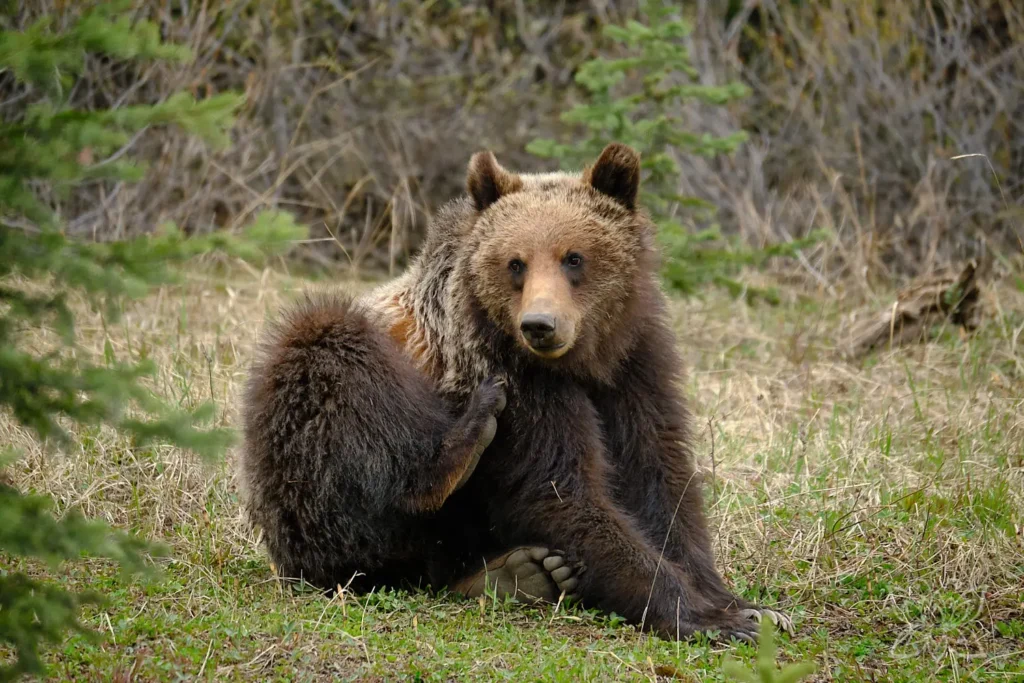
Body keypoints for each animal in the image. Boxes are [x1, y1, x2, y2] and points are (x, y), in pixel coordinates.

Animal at [359, 142, 793, 642]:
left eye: (574, 257)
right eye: (515, 262)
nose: (540, 325)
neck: (584, 361)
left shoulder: (633, 367)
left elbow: (658, 479)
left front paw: (748, 606)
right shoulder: (512, 380)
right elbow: (562, 490)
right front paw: (711, 618)